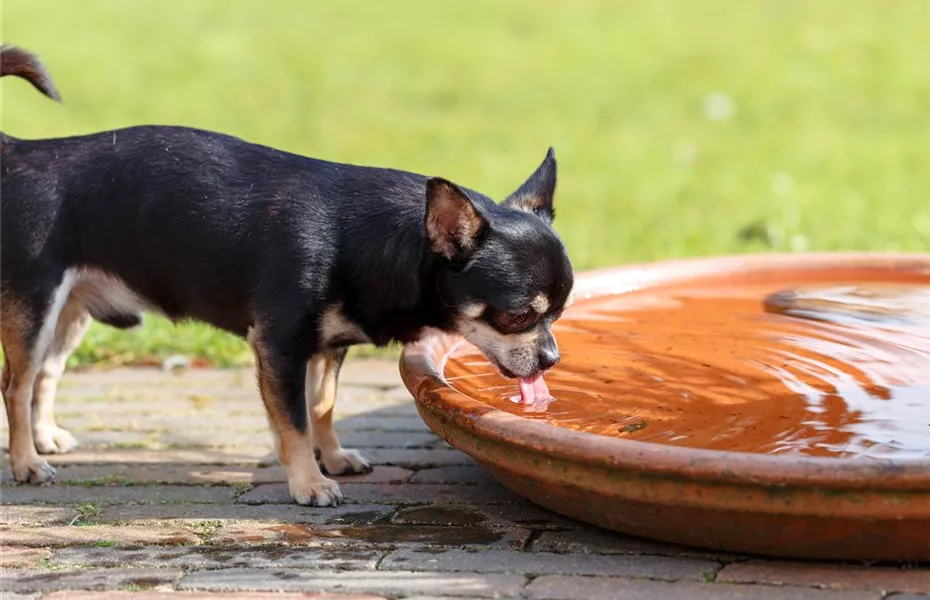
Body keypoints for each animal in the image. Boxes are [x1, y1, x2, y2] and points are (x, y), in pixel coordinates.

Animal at [0, 48, 572, 506]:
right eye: (517, 316)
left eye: (559, 314)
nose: (552, 358)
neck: (367, 239)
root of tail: (25, 151)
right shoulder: (279, 348)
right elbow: (293, 422)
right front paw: (309, 483)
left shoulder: (327, 348)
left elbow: (322, 406)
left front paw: (332, 456)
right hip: (34, 308)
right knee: (17, 383)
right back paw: (27, 462)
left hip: (70, 314)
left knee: (46, 375)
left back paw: (45, 437)